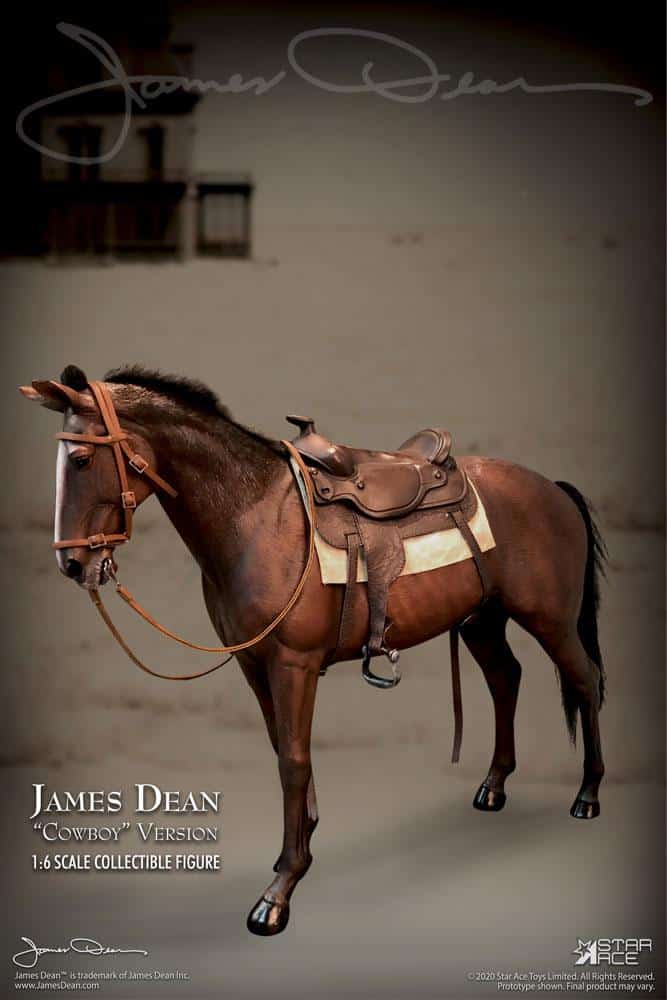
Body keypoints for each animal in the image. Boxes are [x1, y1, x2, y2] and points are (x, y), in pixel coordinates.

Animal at [20, 363, 607, 937]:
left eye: (81, 458)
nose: (72, 564)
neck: (255, 519)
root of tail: (552, 487)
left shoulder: (293, 664)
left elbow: (294, 762)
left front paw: (280, 889)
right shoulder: (253, 664)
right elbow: (282, 747)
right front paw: (303, 834)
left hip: (551, 620)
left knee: (584, 680)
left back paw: (588, 795)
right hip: (481, 620)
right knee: (506, 678)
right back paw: (494, 785)